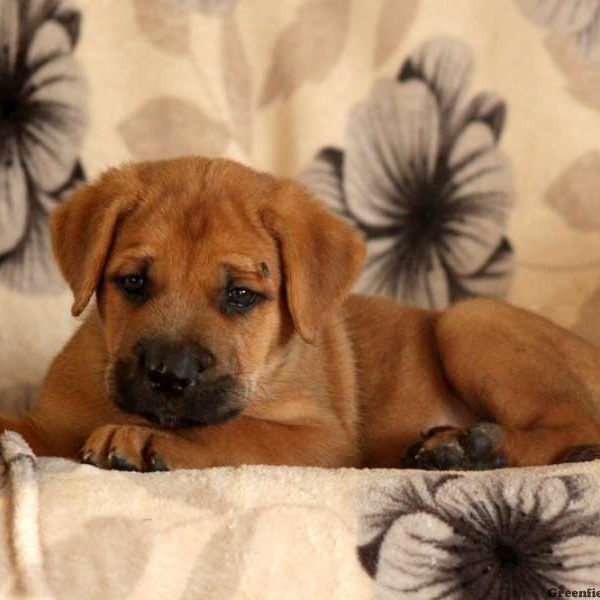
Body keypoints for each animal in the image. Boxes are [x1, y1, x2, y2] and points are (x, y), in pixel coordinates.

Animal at [1, 157, 600, 472]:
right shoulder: (44, 424)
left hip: (469, 320)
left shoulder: (319, 440)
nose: (169, 376)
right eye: (133, 283)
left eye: (241, 295)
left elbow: (235, 433)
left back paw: (470, 448)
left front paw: (146, 439)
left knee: (575, 424)